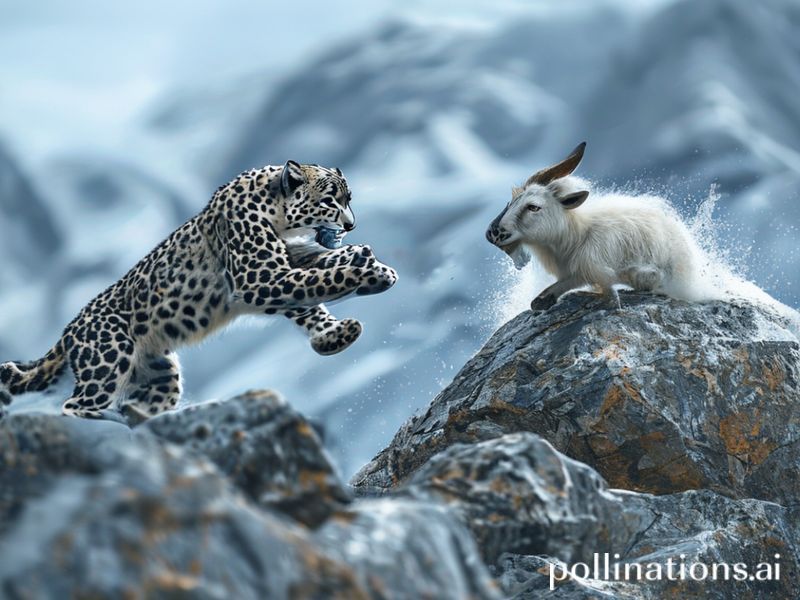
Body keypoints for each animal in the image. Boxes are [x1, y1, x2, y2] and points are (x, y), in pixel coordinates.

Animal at [0, 160, 398, 420]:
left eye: (349, 199)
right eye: (331, 200)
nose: (351, 224)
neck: (281, 220)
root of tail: (68, 331)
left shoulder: (285, 265)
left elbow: (315, 287)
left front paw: (362, 273)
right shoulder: (261, 277)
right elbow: (321, 283)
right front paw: (371, 277)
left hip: (161, 374)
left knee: (143, 400)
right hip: (108, 359)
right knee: (75, 405)